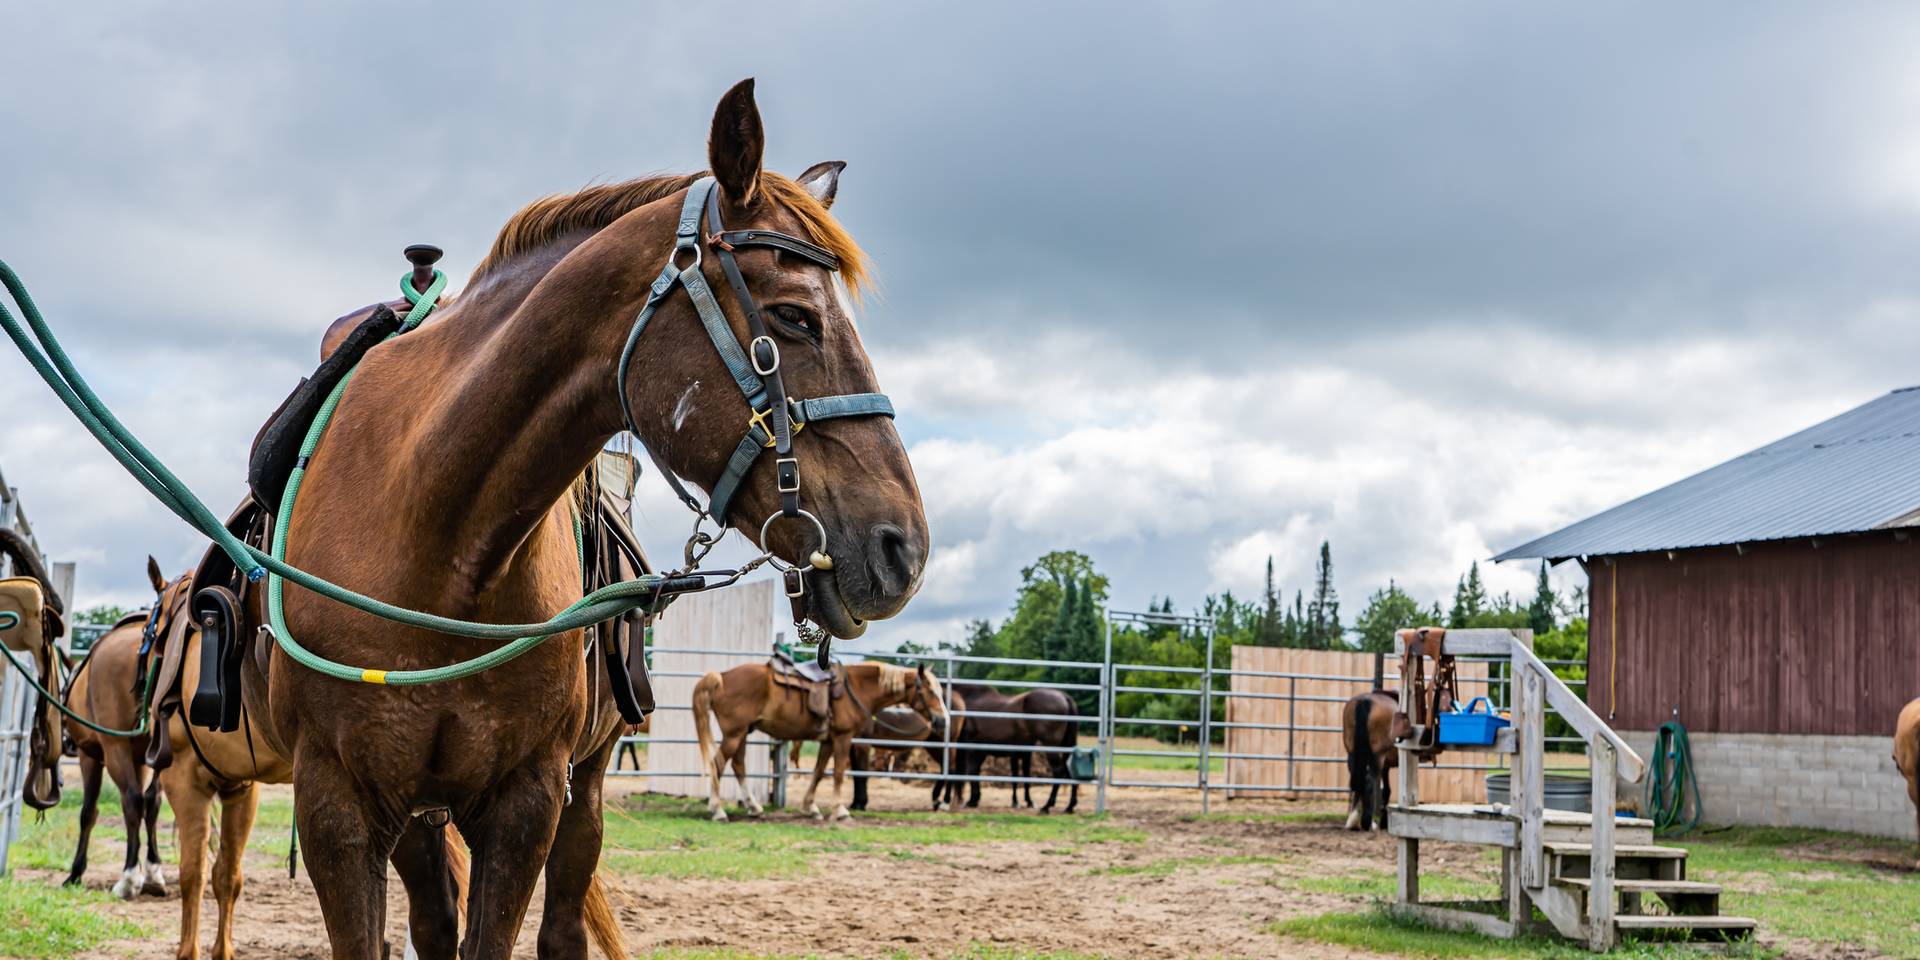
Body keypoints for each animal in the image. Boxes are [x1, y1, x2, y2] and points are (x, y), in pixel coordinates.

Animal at [56, 557, 179, 900]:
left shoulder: (91, 756)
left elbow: (88, 811)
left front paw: (76, 872)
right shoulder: (144, 758)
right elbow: (150, 804)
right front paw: (151, 870)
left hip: (113, 750)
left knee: (132, 800)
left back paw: (128, 878)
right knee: (149, 801)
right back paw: (151, 874)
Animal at [694, 661, 947, 821]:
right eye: (930, 691)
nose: (943, 720)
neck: (856, 688)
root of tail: (722, 677)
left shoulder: (828, 741)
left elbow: (818, 771)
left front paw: (811, 807)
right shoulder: (843, 737)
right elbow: (838, 773)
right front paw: (840, 811)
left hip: (742, 733)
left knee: (738, 766)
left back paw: (754, 807)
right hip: (734, 734)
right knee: (717, 765)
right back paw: (717, 810)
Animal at [952, 686, 1082, 814]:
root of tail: (1064, 697)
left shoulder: (973, 748)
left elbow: (972, 771)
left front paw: (972, 800)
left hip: (1051, 746)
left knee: (1058, 770)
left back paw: (1047, 806)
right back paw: (1070, 806)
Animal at [1342, 689, 1398, 832]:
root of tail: (1365, 701)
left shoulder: (1386, 766)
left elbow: (1387, 790)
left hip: (1353, 755)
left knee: (1360, 781)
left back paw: (1353, 820)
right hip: (1377, 757)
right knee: (1371, 782)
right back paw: (1370, 821)